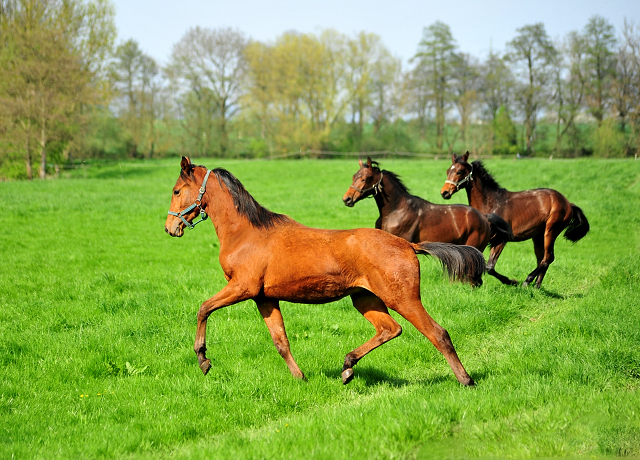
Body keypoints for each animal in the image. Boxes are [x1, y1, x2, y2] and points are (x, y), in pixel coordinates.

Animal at [165, 157, 484, 384]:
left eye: (177, 190)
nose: (170, 227)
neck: (247, 233)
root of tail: (408, 244)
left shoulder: (242, 287)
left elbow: (204, 308)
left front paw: (203, 360)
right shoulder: (264, 297)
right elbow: (280, 341)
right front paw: (300, 378)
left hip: (402, 299)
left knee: (438, 333)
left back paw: (466, 380)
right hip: (365, 298)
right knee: (390, 329)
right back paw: (347, 367)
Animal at [440, 151, 592, 288]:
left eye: (459, 171)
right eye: (447, 170)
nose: (444, 192)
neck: (491, 203)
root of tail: (568, 203)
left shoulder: (501, 239)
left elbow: (490, 267)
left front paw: (512, 281)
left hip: (551, 230)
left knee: (548, 258)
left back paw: (527, 281)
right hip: (538, 235)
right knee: (542, 258)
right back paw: (536, 286)